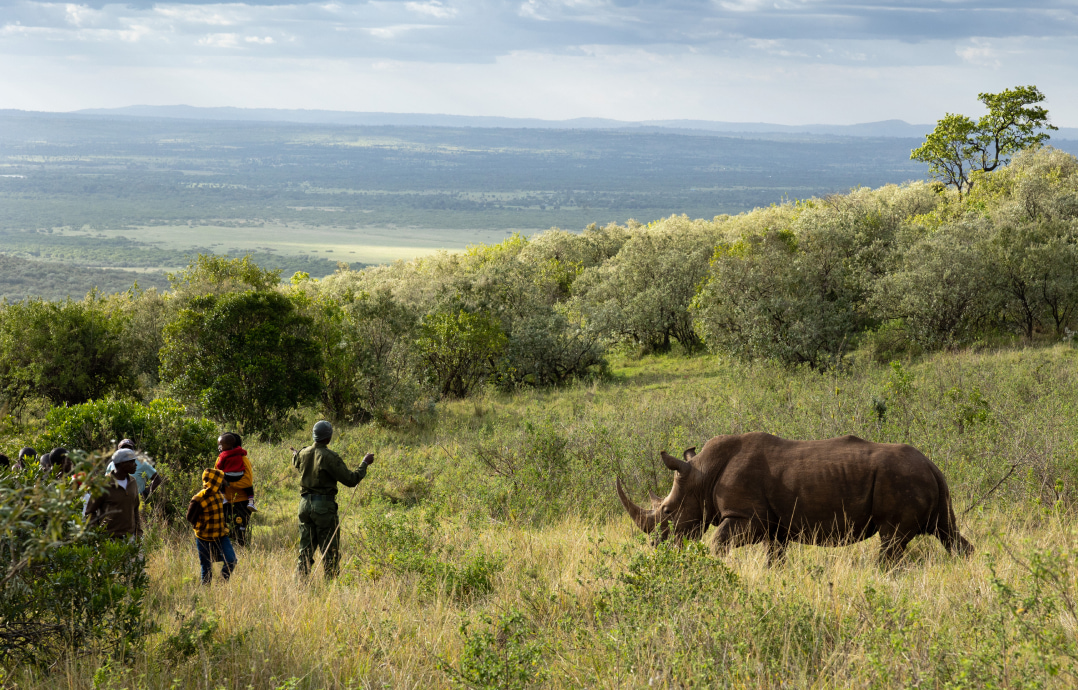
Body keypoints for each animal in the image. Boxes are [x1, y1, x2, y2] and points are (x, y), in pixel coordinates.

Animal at [616, 431, 978, 564]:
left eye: (667, 511)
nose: (657, 547)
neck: (702, 474)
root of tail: (932, 465)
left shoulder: (747, 517)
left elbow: (718, 542)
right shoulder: (775, 526)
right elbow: (775, 556)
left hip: (903, 480)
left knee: (891, 542)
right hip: (926, 482)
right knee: (947, 534)